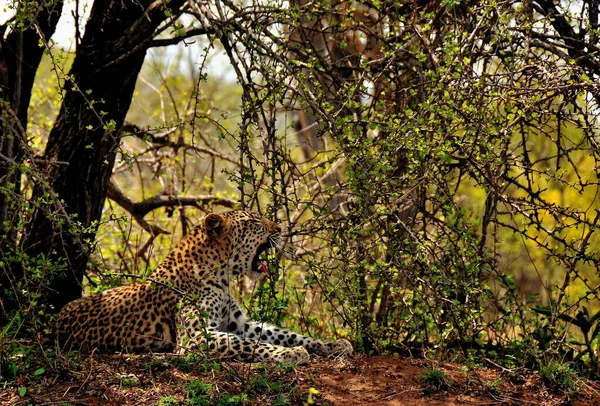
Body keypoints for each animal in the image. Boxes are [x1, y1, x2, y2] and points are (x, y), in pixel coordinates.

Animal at [54, 211, 354, 364]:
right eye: (255, 223)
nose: (279, 228)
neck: (221, 275)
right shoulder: (197, 336)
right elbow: (250, 345)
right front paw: (290, 354)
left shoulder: (239, 323)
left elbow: (283, 334)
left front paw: (330, 344)